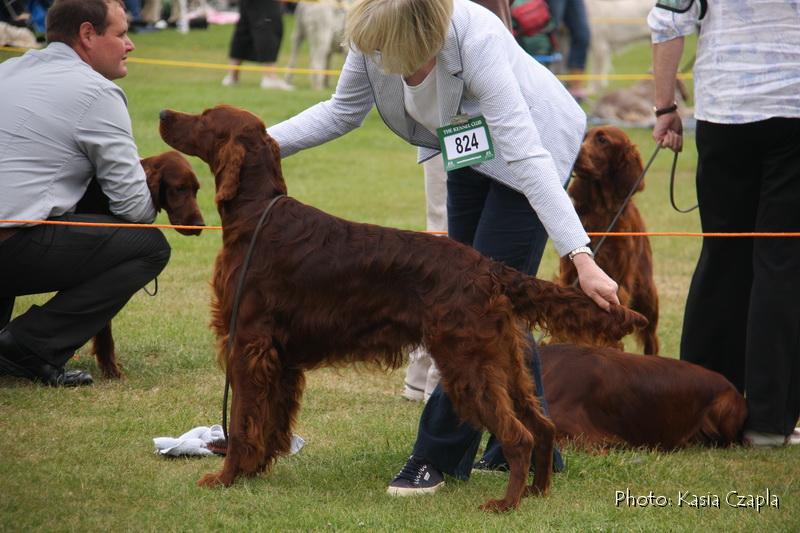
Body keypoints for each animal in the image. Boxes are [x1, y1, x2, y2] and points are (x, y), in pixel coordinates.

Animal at [159, 105, 648, 512]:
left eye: (204, 117)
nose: (164, 114)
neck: (256, 214)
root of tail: (487, 268)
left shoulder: (248, 343)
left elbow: (242, 422)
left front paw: (225, 477)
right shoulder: (279, 356)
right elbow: (270, 422)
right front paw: (254, 472)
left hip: (467, 363)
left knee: (519, 435)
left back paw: (506, 504)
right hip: (502, 359)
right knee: (541, 426)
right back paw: (536, 493)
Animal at [552, 125, 660, 354]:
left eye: (603, 140)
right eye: (585, 136)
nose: (575, 151)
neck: (600, 210)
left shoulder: (618, 280)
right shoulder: (571, 275)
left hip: (647, 297)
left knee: (652, 339)